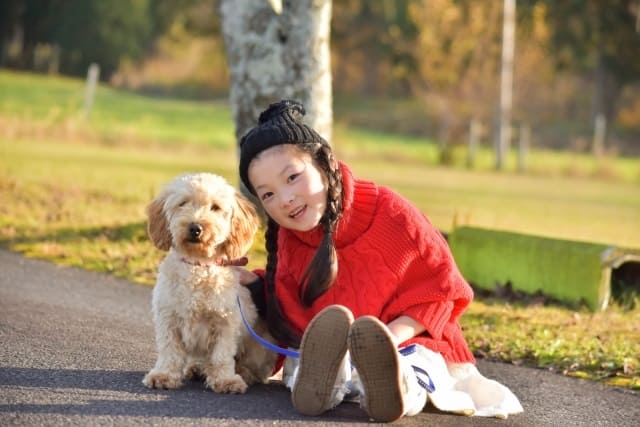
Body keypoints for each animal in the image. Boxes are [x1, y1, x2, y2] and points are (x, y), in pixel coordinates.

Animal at [143, 173, 278, 394]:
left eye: (215, 207)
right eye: (183, 203)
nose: (195, 227)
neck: (198, 266)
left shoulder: (226, 322)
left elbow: (222, 356)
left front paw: (226, 380)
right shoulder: (168, 318)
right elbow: (170, 352)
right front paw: (164, 375)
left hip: (262, 345)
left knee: (256, 369)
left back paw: (244, 373)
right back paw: (197, 368)